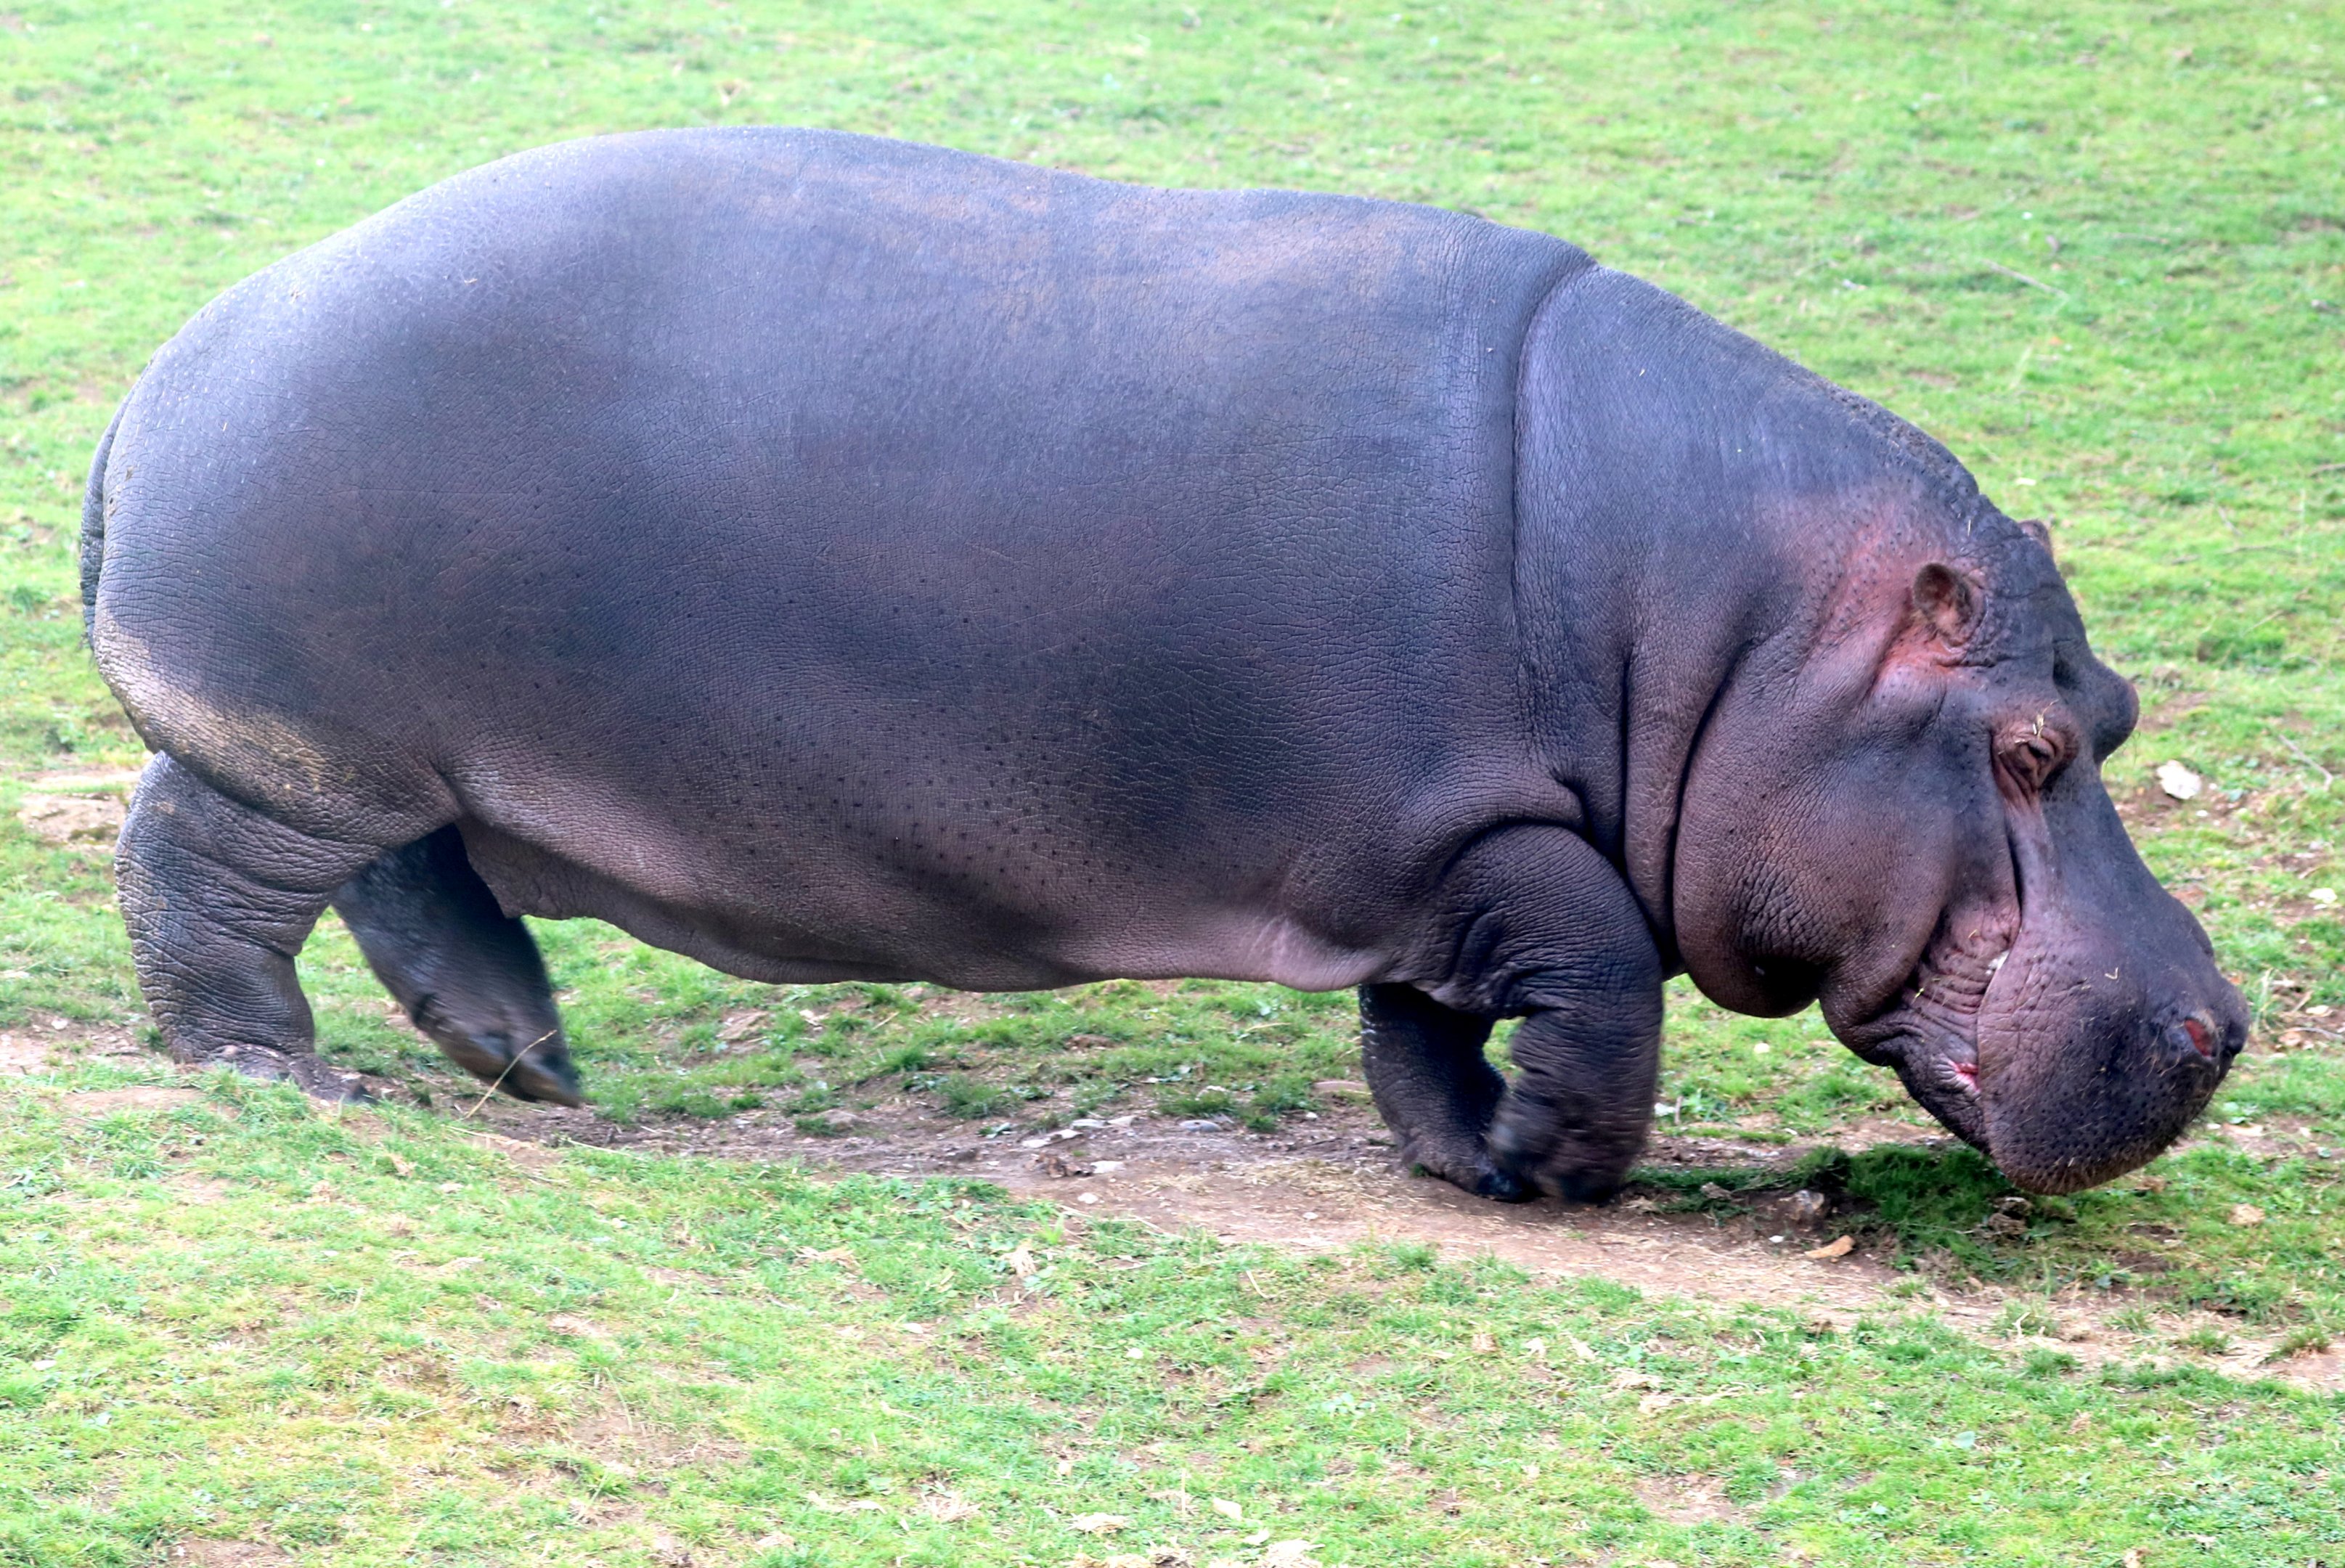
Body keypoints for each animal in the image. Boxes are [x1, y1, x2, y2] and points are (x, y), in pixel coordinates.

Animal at [81, 127, 2244, 1201]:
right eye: (2026, 748)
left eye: (2113, 714)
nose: (2221, 1024)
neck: (1732, 632)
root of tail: (191, 344)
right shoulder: (1492, 827)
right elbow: (1604, 984)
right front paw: (1553, 1173)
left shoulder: (1433, 854)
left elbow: (1432, 1018)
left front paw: (1459, 1155)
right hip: (313, 730)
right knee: (203, 861)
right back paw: (276, 1071)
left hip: (420, 747)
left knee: (413, 885)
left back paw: (530, 1063)